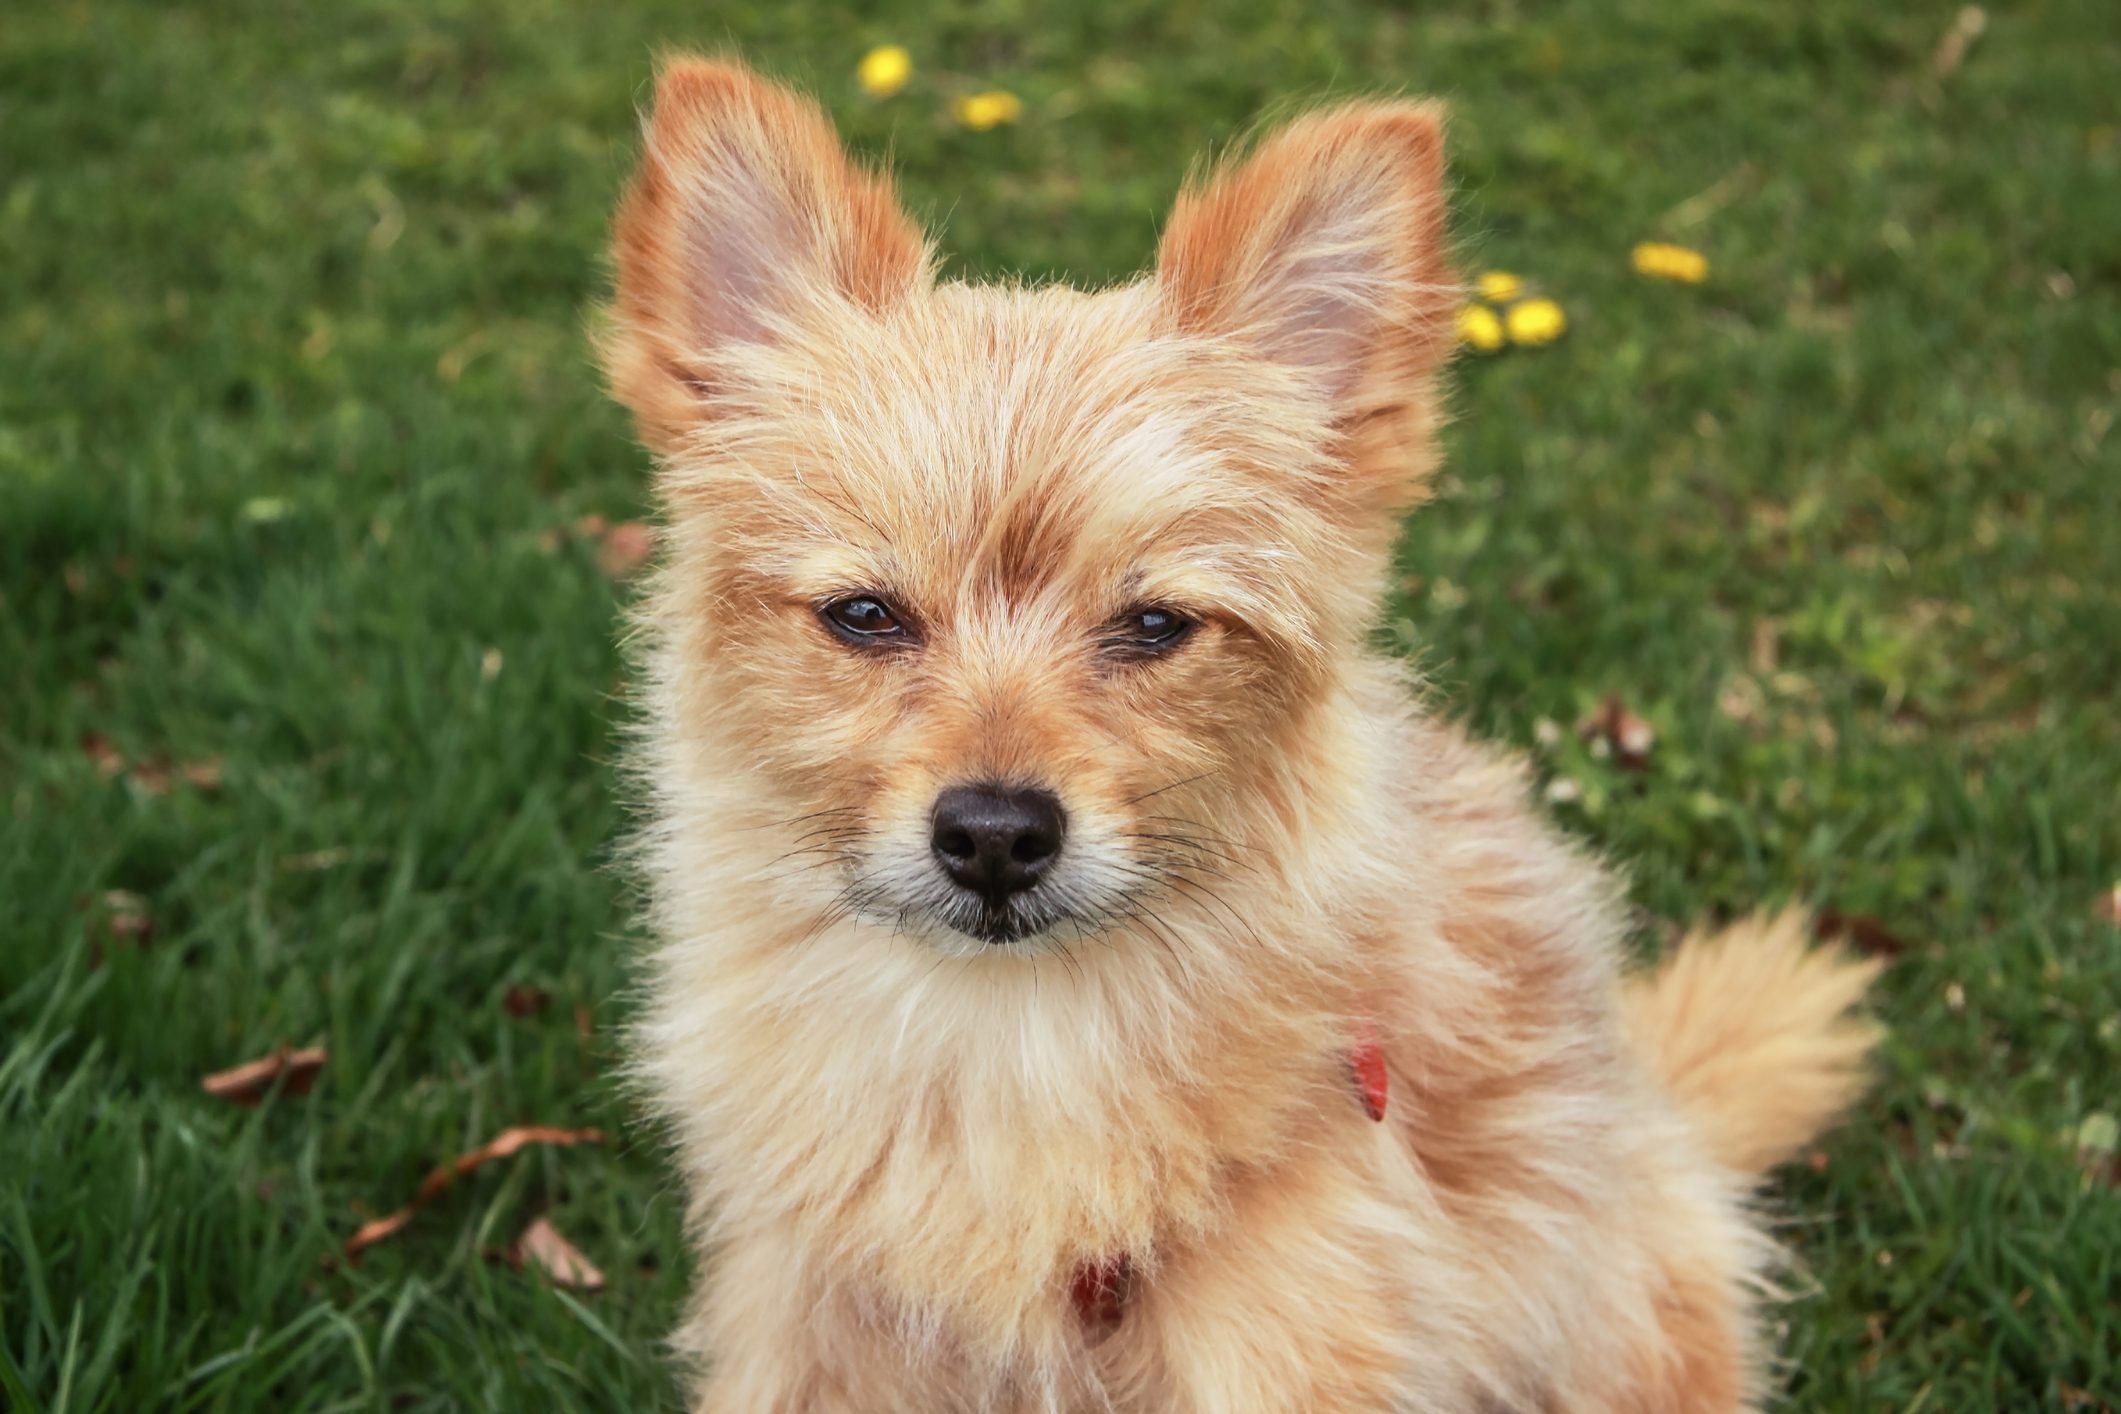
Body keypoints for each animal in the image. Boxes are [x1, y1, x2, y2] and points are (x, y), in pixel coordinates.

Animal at [593, 58, 1874, 1414]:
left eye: (1156, 624)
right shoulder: (810, 1328)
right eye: (865, 616)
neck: (1006, 1043)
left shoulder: (1293, 1334)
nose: (995, 835)